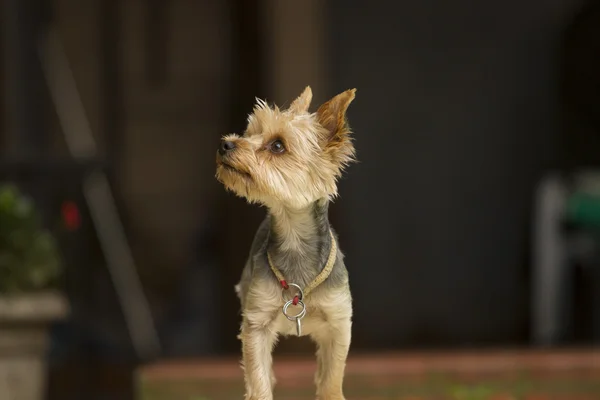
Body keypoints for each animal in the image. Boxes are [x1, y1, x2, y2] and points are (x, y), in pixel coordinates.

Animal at [216, 86, 356, 398]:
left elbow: (331, 381)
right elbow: (259, 380)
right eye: (249, 133)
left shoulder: (338, 325)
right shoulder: (256, 324)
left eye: (278, 146)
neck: (294, 239)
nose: (225, 144)